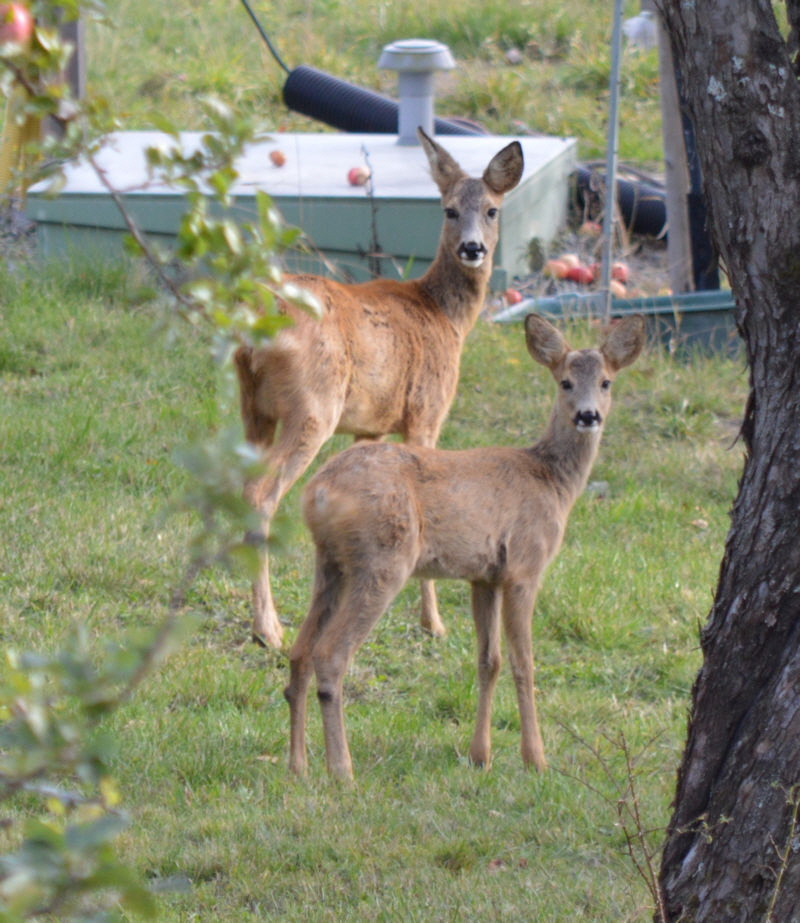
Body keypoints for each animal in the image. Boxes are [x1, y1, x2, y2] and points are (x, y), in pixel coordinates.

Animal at [234, 128, 528, 648]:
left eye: (493, 209)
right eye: (449, 209)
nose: (473, 248)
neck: (445, 315)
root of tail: (259, 324)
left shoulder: (369, 426)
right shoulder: (426, 411)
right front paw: (433, 623)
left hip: (252, 407)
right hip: (313, 406)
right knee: (262, 494)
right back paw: (268, 628)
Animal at [284, 314, 648, 776]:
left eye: (606, 382)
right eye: (565, 382)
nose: (588, 415)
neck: (551, 481)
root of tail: (318, 492)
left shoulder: (484, 576)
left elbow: (488, 661)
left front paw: (481, 755)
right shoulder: (524, 566)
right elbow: (524, 663)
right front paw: (535, 758)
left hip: (329, 562)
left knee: (299, 652)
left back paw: (298, 766)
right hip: (382, 558)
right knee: (330, 655)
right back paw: (342, 772)